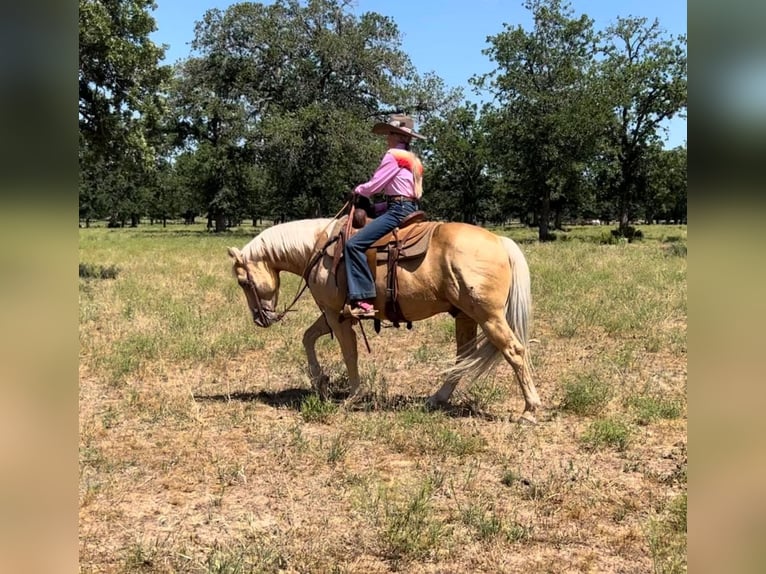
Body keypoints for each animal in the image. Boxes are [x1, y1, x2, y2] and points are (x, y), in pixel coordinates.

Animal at [225, 218, 544, 426]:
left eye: (243, 282)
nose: (261, 319)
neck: (317, 248)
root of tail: (500, 241)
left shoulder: (335, 315)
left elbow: (349, 353)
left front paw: (353, 396)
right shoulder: (333, 313)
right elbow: (308, 337)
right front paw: (320, 381)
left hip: (488, 316)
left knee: (514, 351)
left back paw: (530, 410)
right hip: (465, 316)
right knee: (462, 358)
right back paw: (436, 399)